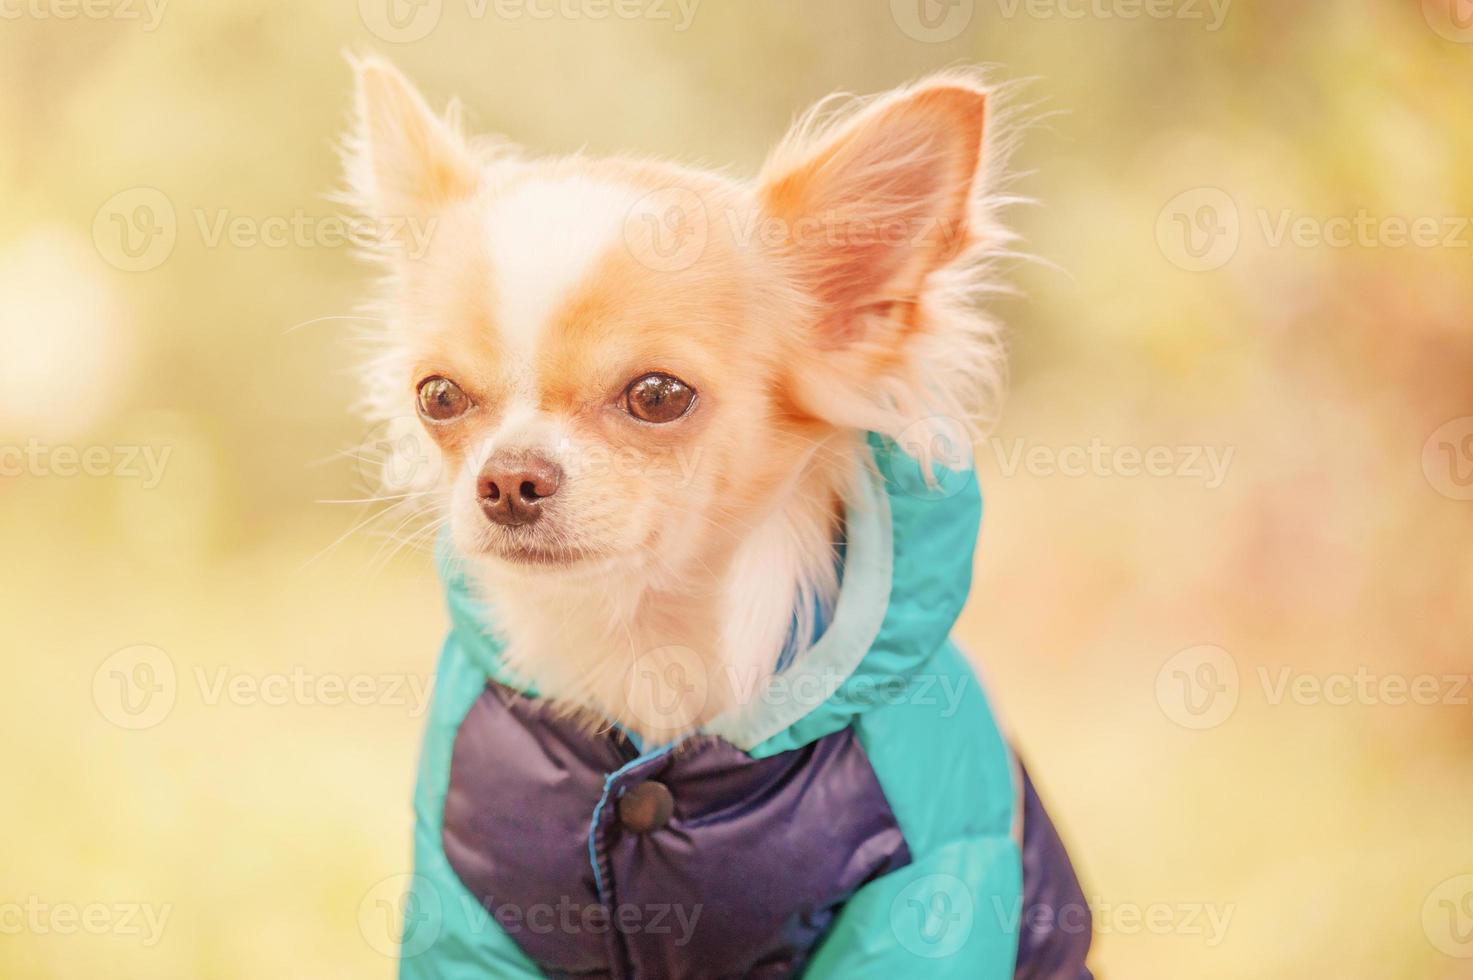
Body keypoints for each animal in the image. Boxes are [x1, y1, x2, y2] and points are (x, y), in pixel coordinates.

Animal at [341, 57, 1084, 972]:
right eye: (438, 397)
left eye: (658, 396)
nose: (508, 479)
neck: (644, 633)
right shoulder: (468, 908)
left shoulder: (920, 894)